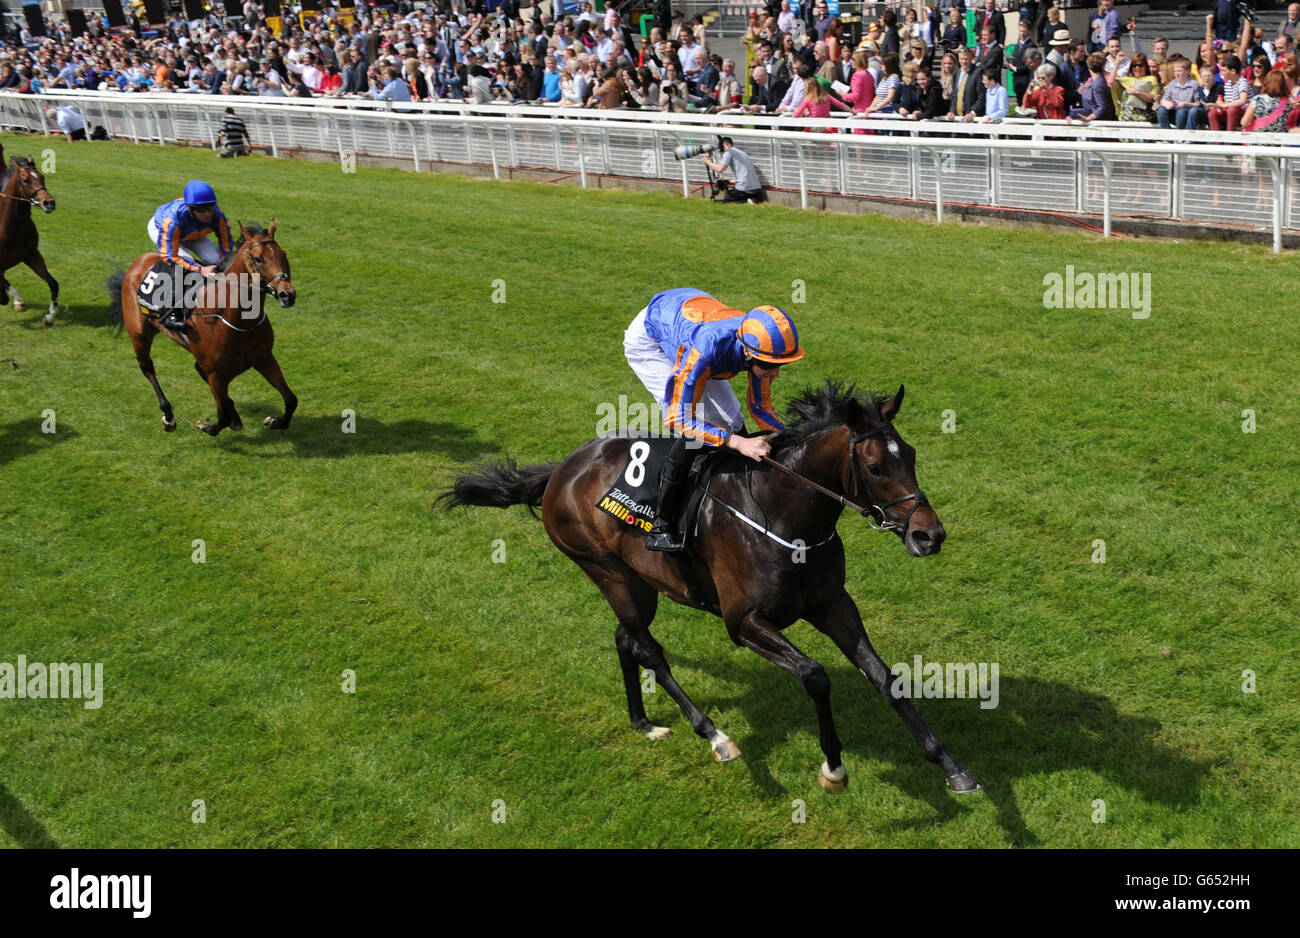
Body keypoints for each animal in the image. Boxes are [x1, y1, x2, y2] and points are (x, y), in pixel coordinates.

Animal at [0, 150, 59, 328]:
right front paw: (18, 303)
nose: (49, 203)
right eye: (26, 180)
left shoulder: (32, 255)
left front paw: (50, 317)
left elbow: (53, 283)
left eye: (42, 177)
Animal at [107, 220, 299, 436]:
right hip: (139, 334)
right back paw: (169, 417)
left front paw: (275, 421)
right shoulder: (216, 374)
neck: (237, 319)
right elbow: (221, 418)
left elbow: (291, 399)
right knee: (147, 368)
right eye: (258, 259)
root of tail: (138, 262)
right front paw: (206, 425)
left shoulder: (264, 357)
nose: (287, 295)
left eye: (284, 254)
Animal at [441, 384, 977, 795]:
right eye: (876, 467)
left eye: (911, 455)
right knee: (650, 650)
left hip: (639, 584)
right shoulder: (744, 623)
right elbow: (815, 675)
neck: (784, 516)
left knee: (625, 638)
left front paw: (952, 767)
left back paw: (643, 722)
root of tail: (561, 470)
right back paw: (715, 735)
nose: (929, 535)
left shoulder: (832, 605)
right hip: (605, 569)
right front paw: (833, 768)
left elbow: (887, 678)